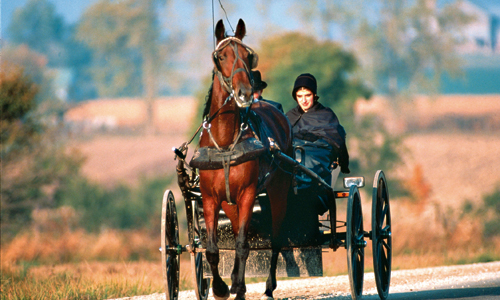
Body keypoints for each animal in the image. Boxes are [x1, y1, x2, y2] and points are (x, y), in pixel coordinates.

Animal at [199, 19, 292, 300]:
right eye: (221, 56)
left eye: (248, 55)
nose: (244, 94)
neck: (225, 144)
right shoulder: (210, 197)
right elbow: (212, 248)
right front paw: (220, 287)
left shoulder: (249, 193)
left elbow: (242, 244)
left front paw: (239, 288)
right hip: (229, 203)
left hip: (279, 189)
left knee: (276, 238)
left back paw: (269, 286)